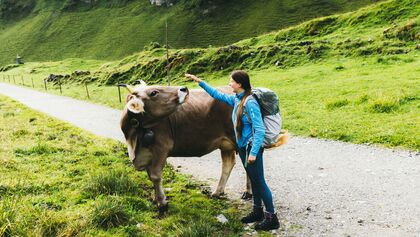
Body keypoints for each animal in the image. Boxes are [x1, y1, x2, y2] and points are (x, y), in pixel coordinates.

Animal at [120, 80, 246, 214]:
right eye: (153, 92)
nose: (184, 88)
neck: (134, 140)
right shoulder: (147, 154)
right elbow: (150, 176)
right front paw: (156, 199)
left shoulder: (161, 148)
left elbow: (155, 176)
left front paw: (162, 203)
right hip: (225, 144)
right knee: (228, 164)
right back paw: (218, 192)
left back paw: (247, 193)